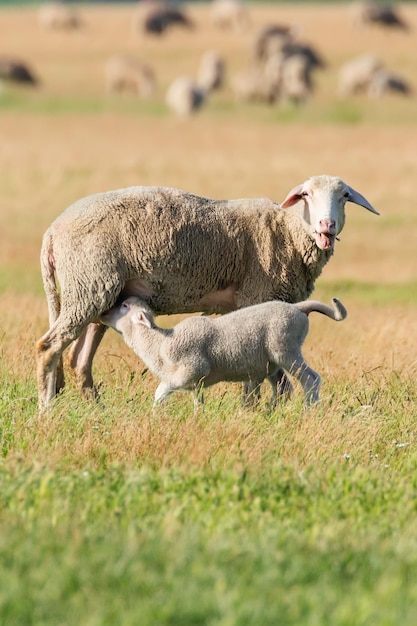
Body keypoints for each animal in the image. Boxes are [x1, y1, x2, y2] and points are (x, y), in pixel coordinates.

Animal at [99, 296, 346, 408]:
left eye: (124, 306)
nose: (103, 313)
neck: (159, 343)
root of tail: (298, 308)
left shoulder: (192, 369)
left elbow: (160, 392)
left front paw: (153, 415)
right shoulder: (195, 384)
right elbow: (198, 403)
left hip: (286, 350)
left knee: (311, 379)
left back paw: (308, 410)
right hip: (271, 362)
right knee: (282, 388)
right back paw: (270, 411)